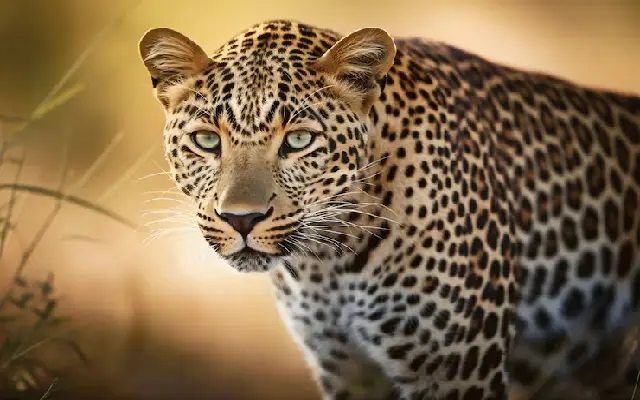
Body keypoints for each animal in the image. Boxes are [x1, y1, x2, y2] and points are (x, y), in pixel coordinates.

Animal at [137, 19, 640, 400]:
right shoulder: (346, 369)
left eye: (298, 141)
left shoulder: (459, 369)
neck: (328, 262)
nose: (241, 219)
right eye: (207, 140)